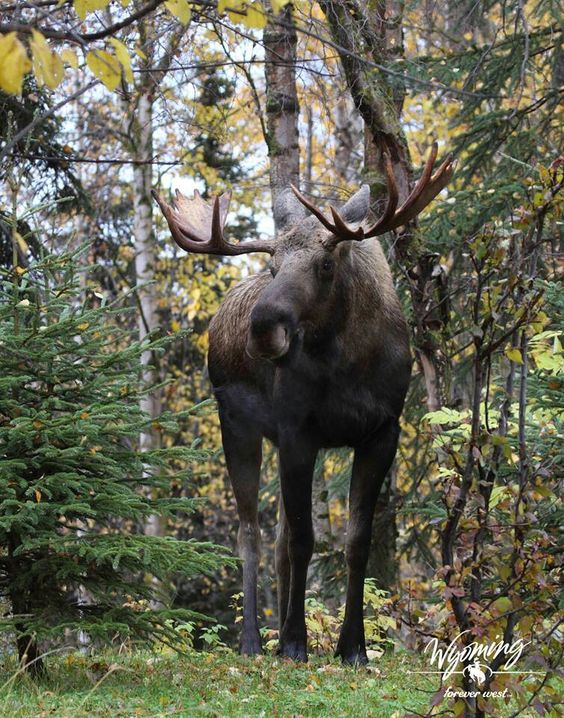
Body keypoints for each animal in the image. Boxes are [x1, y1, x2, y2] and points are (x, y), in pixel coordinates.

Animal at [153, 143, 454, 668]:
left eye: (327, 264)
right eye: (273, 268)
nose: (262, 328)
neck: (350, 366)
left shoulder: (382, 432)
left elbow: (355, 542)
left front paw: (353, 646)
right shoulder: (298, 432)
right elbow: (302, 540)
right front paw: (295, 642)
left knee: (271, 539)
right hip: (237, 426)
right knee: (249, 534)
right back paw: (254, 641)